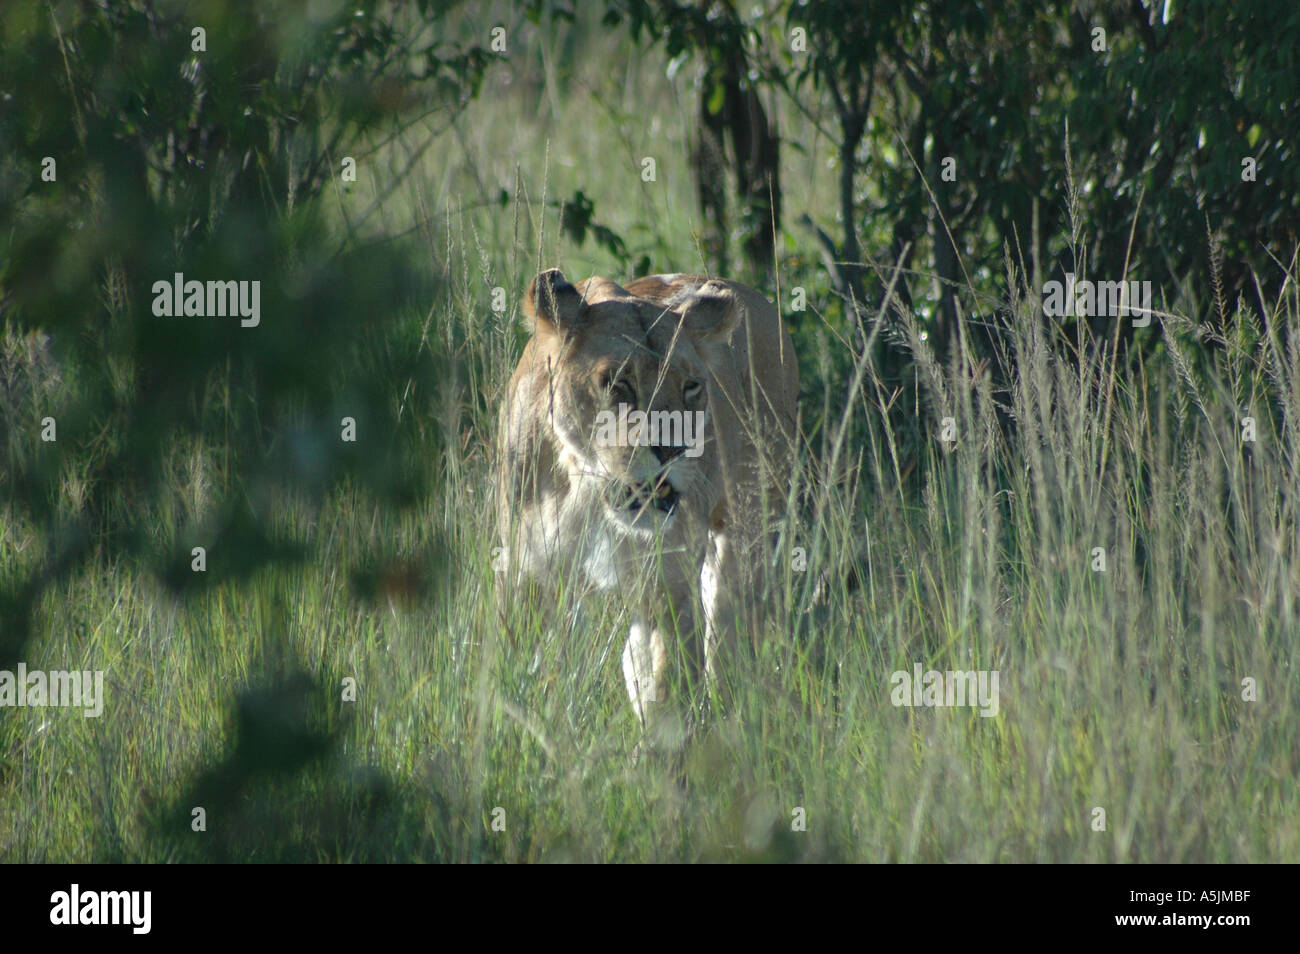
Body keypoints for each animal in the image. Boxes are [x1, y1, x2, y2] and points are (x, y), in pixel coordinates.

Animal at [495, 269, 799, 732]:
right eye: (618, 383)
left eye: (692, 386)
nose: (674, 449)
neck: (587, 488)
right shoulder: (525, 570)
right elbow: (526, 668)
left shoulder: (667, 584)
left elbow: (669, 687)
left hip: (748, 534)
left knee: (725, 640)